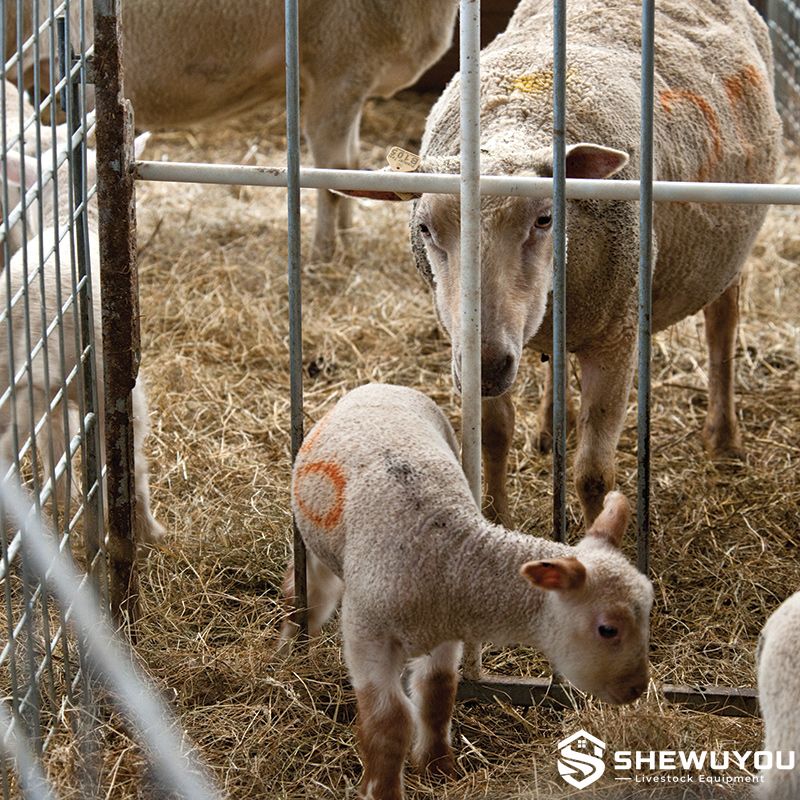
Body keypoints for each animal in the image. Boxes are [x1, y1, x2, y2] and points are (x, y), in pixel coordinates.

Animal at [281, 383, 654, 800]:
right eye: (608, 629)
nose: (637, 688)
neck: (452, 558)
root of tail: (379, 385)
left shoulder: (447, 632)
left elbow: (438, 694)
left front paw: (439, 768)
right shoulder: (367, 637)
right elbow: (389, 722)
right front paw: (383, 789)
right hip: (314, 541)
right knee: (310, 594)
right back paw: (286, 648)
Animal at [340, 0, 782, 528]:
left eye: (545, 218)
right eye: (424, 228)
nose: (486, 365)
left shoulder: (617, 338)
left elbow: (593, 473)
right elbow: (494, 437)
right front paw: (498, 520)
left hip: (729, 250)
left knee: (722, 327)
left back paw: (724, 436)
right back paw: (554, 424)